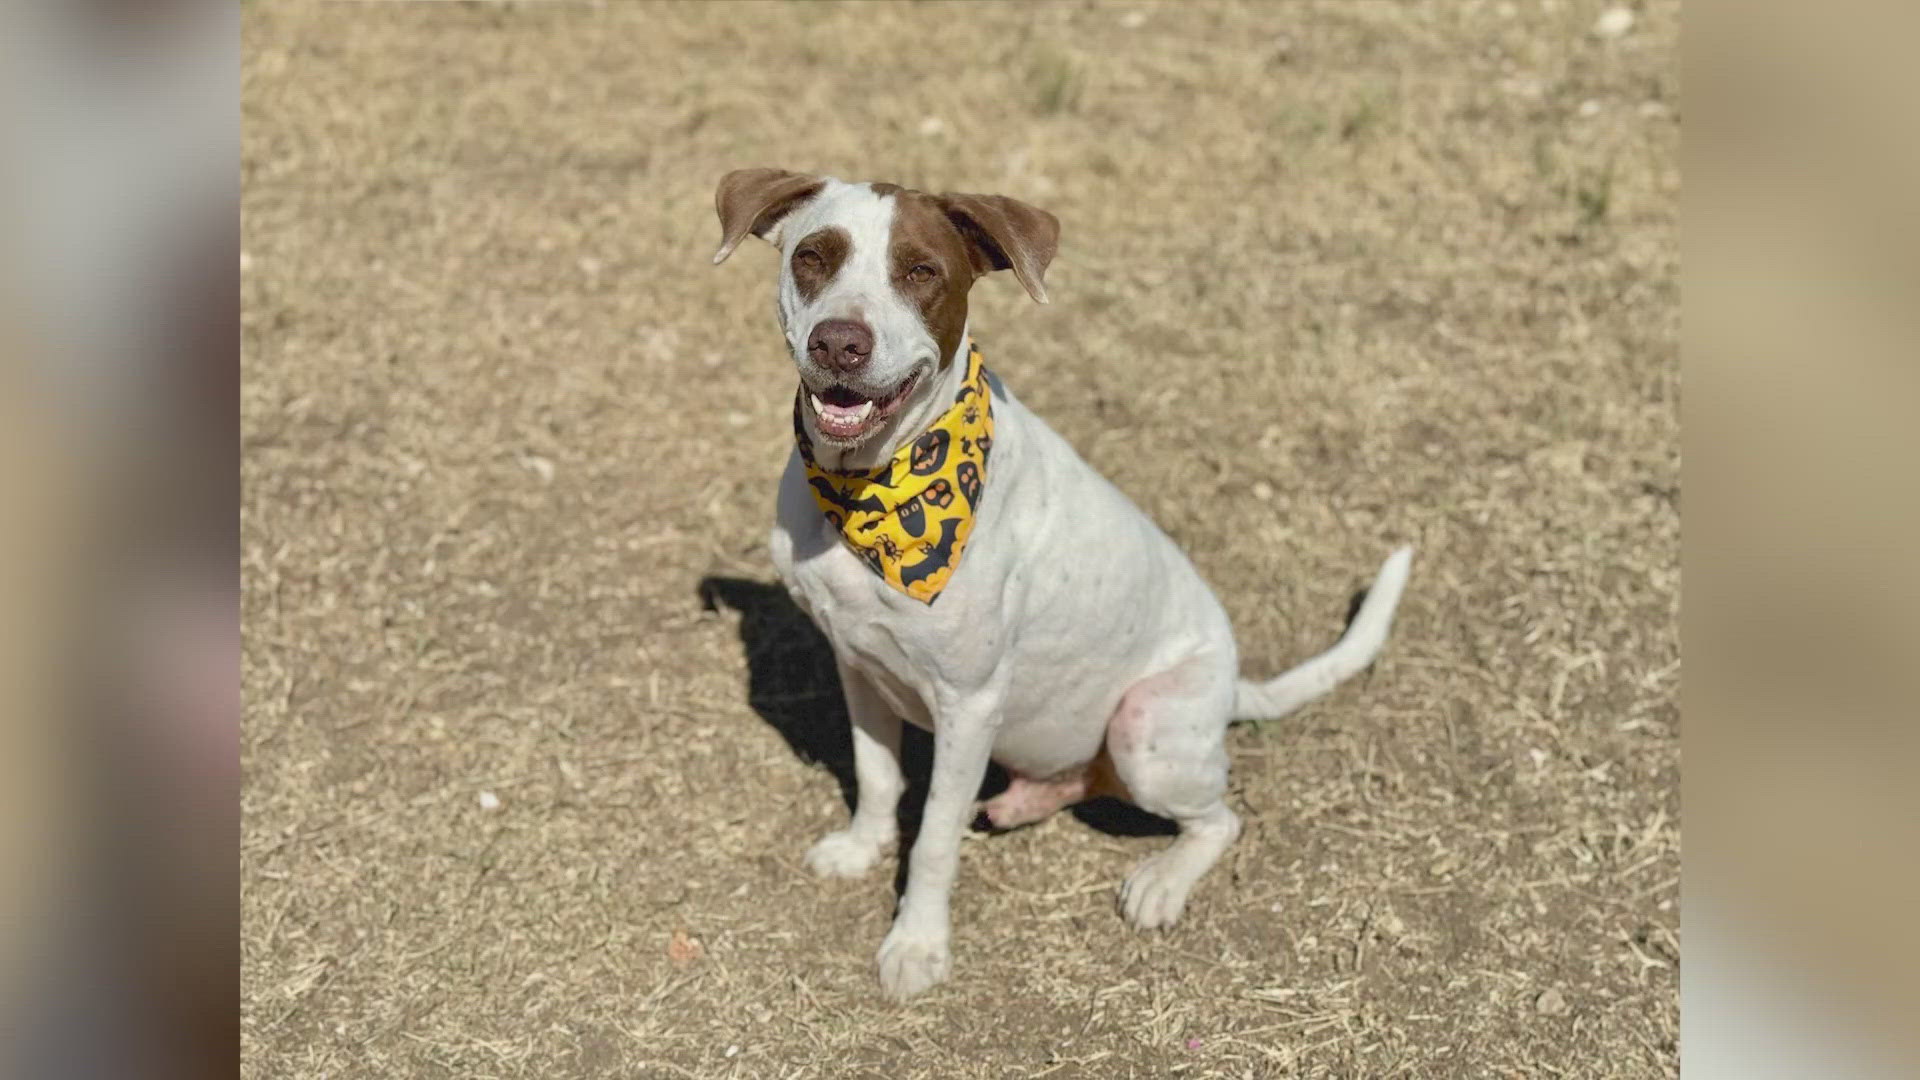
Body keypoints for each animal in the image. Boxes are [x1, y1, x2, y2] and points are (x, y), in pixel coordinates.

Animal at [714, 170, 1405, 999]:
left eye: (921, 272)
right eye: (814, 256)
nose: (840, 342)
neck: (871, 492)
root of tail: (1233, 690)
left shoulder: (969, 705)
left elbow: (934, 837)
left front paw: (917, 944)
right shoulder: (858, 665)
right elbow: (878, 777)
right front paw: (860, 849)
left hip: (1145, 729)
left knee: (1221, 819)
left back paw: (1162, 882)